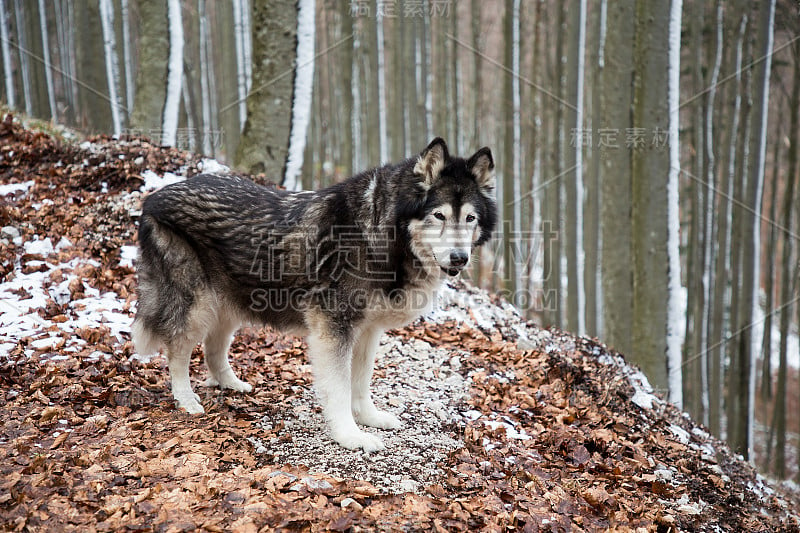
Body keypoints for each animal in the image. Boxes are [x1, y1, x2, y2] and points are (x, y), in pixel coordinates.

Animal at [130, 136, 496, 448]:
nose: (460, 258)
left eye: (470, 218)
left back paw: (231, 384)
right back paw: (187, 401)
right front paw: (351, 436)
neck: (378, 234)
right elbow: (340, 388)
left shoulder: (368, 332)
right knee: (177, 352)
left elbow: (361, 382)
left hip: (229, 306)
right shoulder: (333, 329)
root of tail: (152, 198)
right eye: (439, 215)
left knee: (212, 349)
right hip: (197, 306)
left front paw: (370, 418)